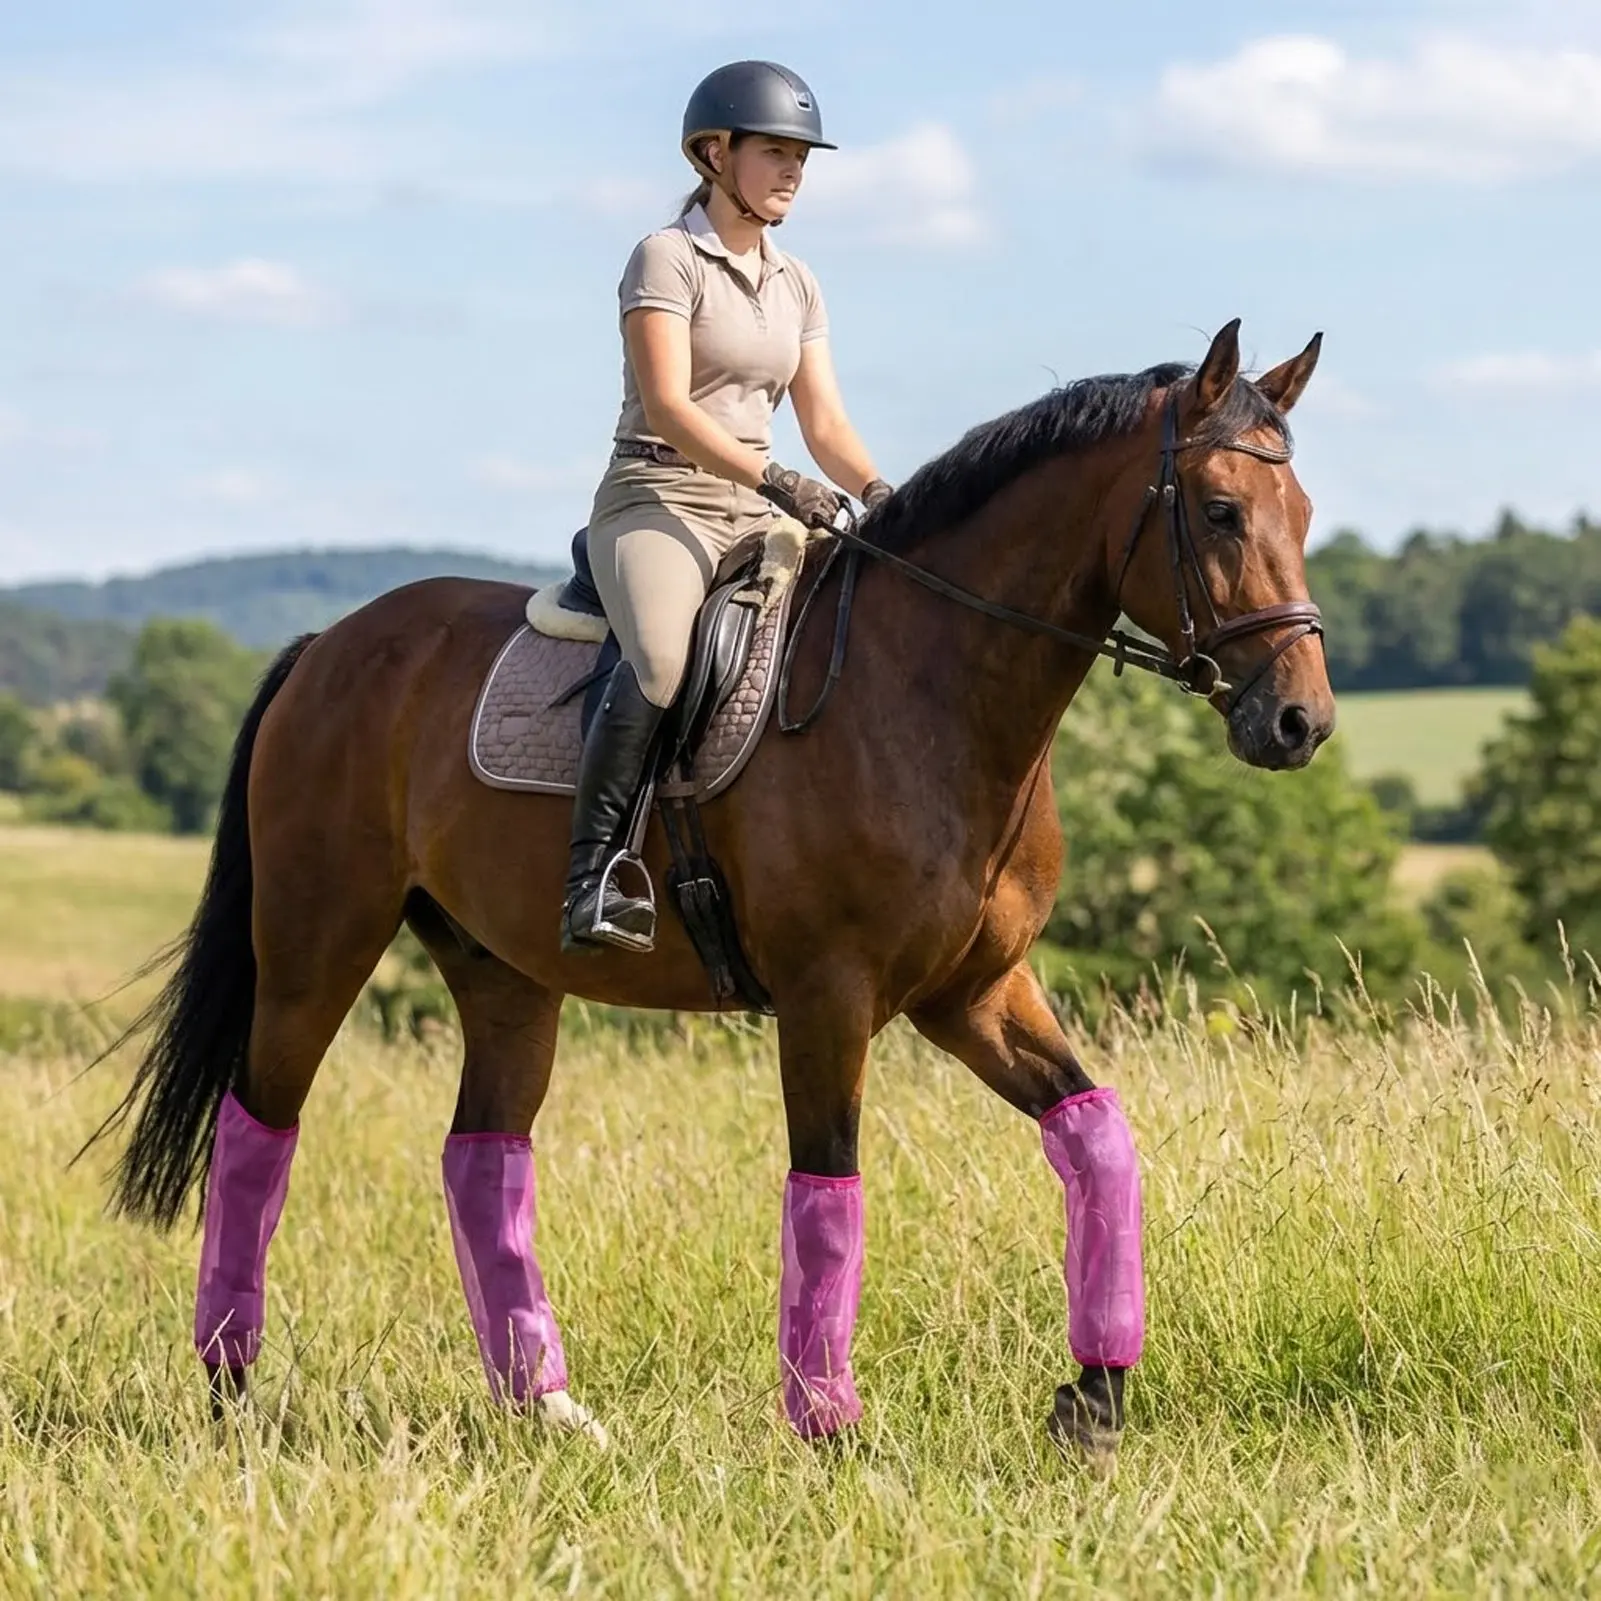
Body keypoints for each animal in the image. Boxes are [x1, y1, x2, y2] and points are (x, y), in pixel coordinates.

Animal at [85, 318, 1333, 1467]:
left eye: (1303, 512)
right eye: (1219, 511)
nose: (1299, 723)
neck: (926, 692)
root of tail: (329, 644)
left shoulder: (974, 992)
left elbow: (1096, 1134)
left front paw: (1092, 1397)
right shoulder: (829, 997)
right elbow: (827, 1184)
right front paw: (830, 1429)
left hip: (504, 976)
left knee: (482, 1155)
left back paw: (548, 1407)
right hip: (318, 942)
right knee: (259, 1124)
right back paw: (233, 1396)